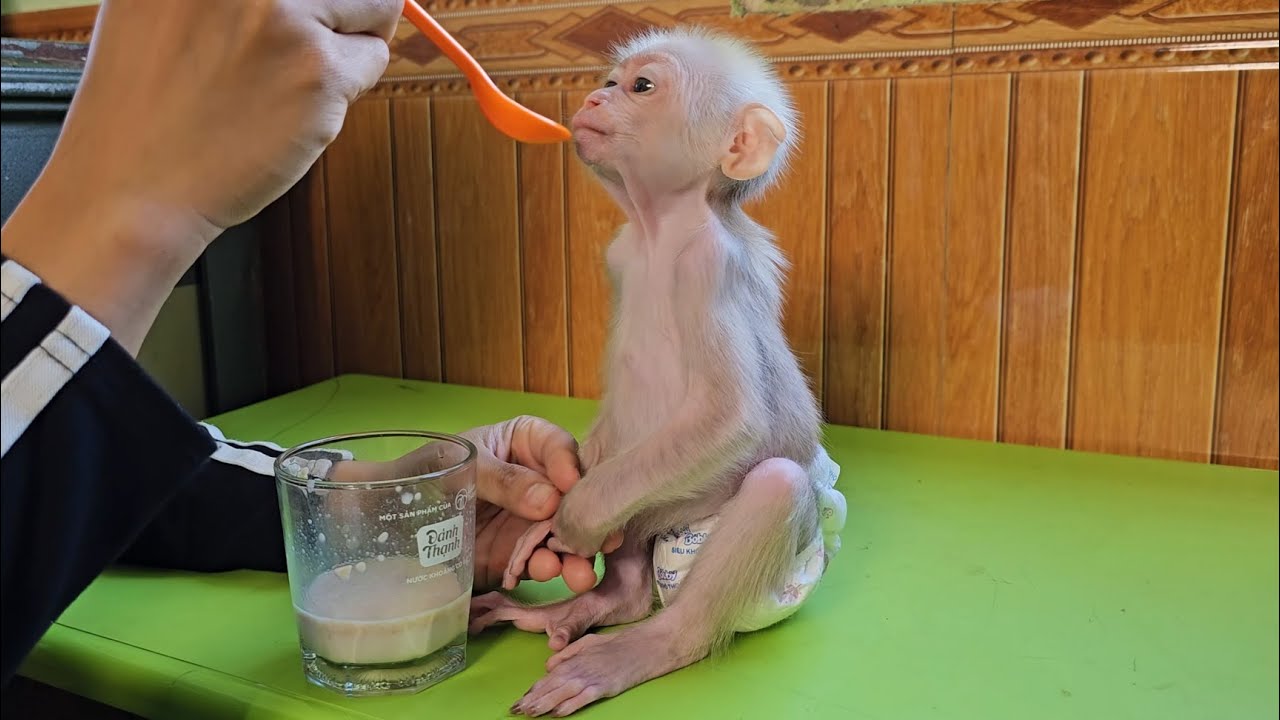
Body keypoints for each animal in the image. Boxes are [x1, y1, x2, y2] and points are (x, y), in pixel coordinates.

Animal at [467, 25, 848, 717]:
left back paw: (657, 641)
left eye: (642, 87)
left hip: (782, 564)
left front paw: (570, 517)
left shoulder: (708, 265)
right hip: (653, 500)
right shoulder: (620, 255)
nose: (595, 97)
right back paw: (604, 601)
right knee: (636, 524)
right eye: (612, 81)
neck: (656, 230)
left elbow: (732, 418)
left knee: (777, 485)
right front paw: (552, 513)